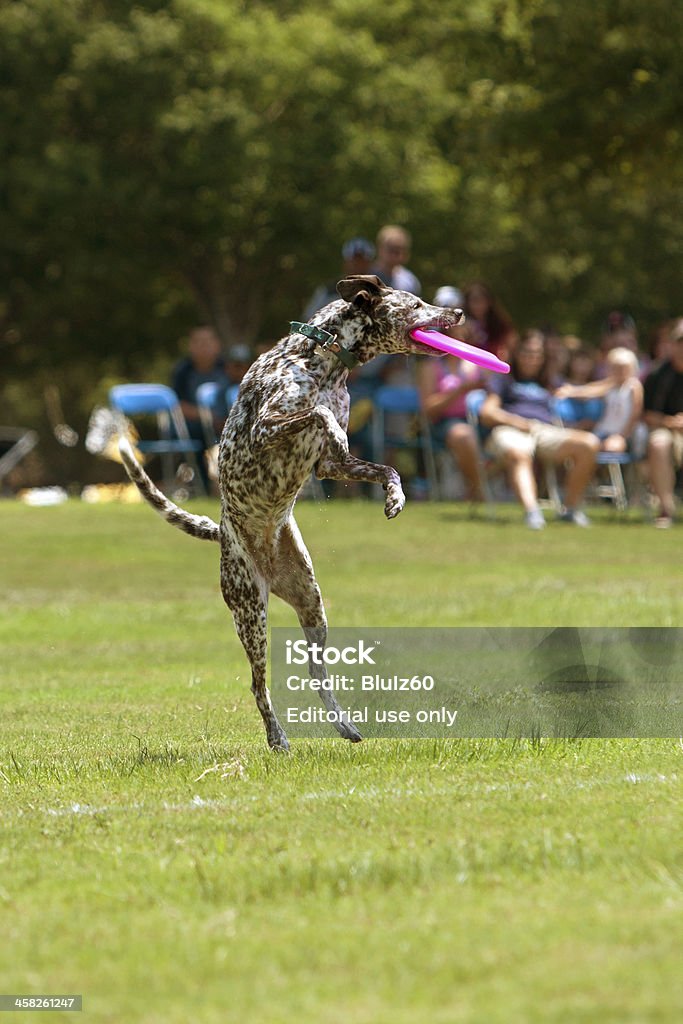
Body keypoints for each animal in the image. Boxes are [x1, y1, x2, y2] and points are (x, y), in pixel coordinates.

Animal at [120, 276, 464, 749]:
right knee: (258, 685)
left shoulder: (331, 465)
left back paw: (344, 725)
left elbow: (384, 467)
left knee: (317, 673)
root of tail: (221, 532)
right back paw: (277, 737)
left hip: (312, 606)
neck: (324, 358)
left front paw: (395, 497)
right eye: (414, 304)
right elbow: (318, 414)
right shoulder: (267, 428)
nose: (459, 312)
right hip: (251, 614)